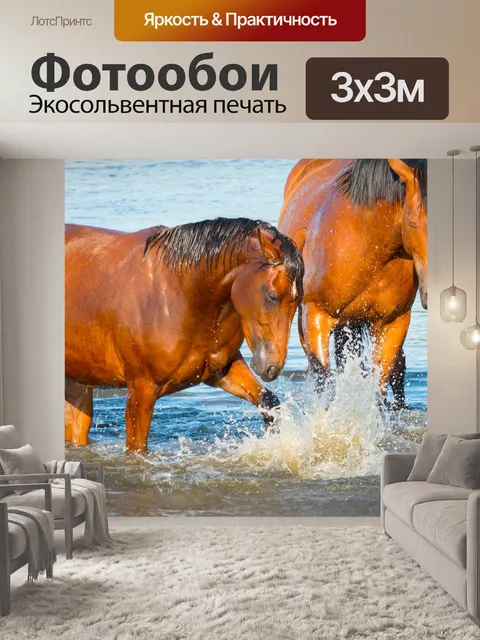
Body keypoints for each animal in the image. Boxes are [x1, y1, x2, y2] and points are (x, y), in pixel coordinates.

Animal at [65, 218, 304, 453]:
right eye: (272, 296)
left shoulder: (221, 371)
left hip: (77, 387)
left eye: (298, 301)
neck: (181, 295)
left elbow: (269, 401)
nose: (272, 367)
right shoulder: (141, 391)